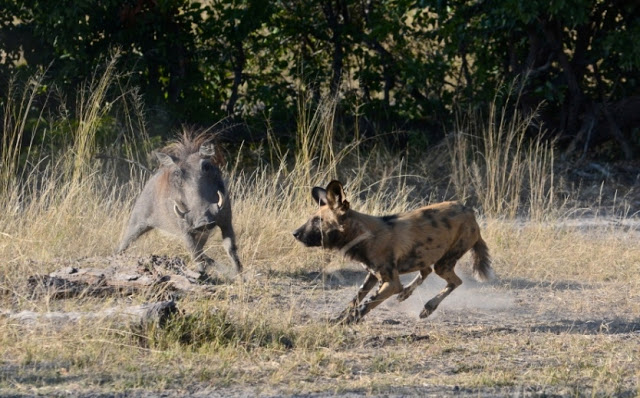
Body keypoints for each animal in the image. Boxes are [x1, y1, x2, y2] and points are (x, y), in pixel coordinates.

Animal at [292, 180, 492, 324]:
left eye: (318, 221)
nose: (295, 233)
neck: (363, 235)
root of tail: (469, 211)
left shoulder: (391, 283)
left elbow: (366, 304)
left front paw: (346, 322)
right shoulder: (374, 276)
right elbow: (356, 299)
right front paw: (340, 318)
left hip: (443, 265)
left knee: (455, 281)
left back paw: (428, 307)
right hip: (423, 257)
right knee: (426, 271)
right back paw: (405, 295)